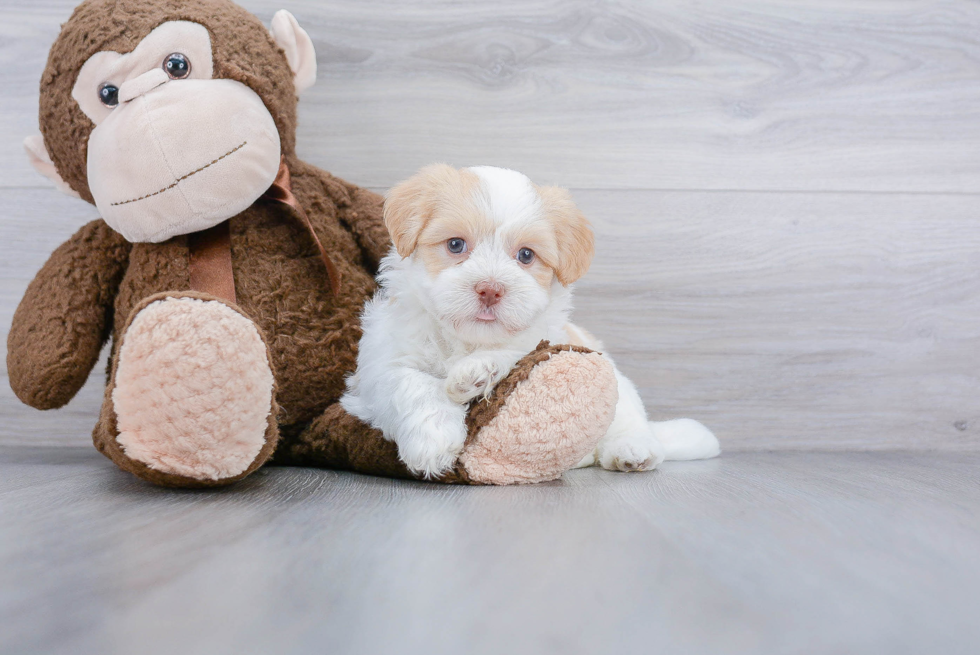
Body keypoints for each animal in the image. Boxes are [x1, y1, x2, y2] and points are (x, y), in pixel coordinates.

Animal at [344, 167, 720, 480]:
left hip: (618, 385)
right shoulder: (379, 366)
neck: (468, 340)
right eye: (455, 244)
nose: (490, 289)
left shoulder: (546, 340)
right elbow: (411, 384)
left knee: (627, 420)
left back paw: (632, 450)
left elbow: (518, 352)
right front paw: (433, 442)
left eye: (526, 255)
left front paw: (475, 373)